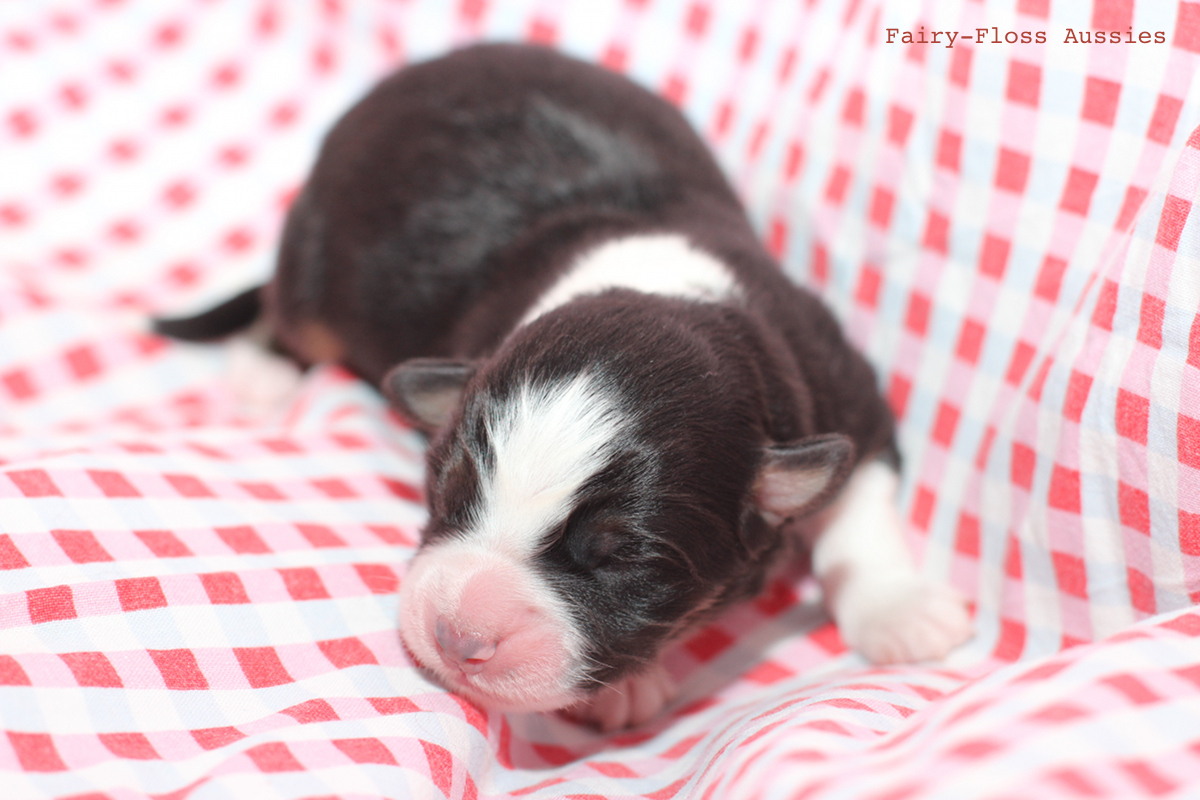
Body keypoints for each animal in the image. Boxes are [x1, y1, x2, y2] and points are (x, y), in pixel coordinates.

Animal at [159, 42, 969, 734]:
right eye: (448, 493)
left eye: (620, 559)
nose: (458, 635)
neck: (662, 291)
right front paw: (626, 691)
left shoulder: (842, 386)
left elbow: (860, 514)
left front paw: (903, 616)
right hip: (318, 253)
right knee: (287, 310)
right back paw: (263, 370)